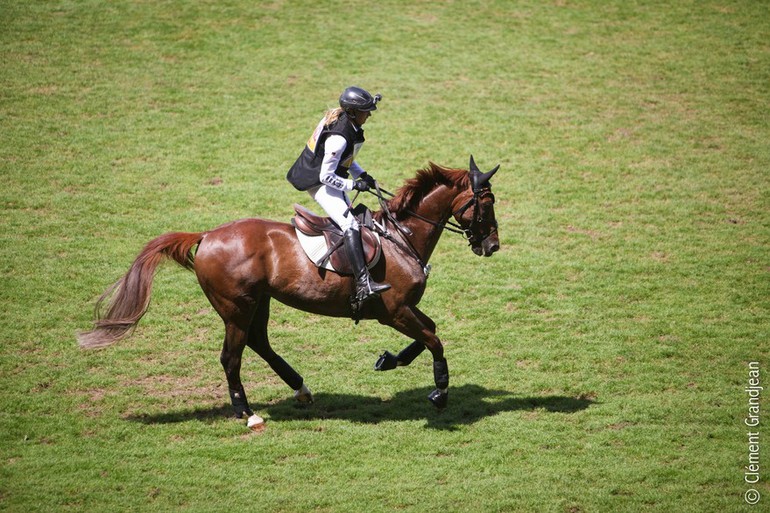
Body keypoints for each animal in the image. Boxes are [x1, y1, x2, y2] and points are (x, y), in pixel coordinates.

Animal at [78, 155, 498, 428]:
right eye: (487, 203)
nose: (492, 245)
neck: (400, 238)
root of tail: (208, 235)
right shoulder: (394, 310)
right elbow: (434, 339)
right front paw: (440, 394)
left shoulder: (402, 309)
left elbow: (429, 334)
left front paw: (389, 360)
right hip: (236, 307)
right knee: (231, 357)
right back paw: (247, 414)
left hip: (259, 301)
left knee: (259, 343)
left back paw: (301, 389)